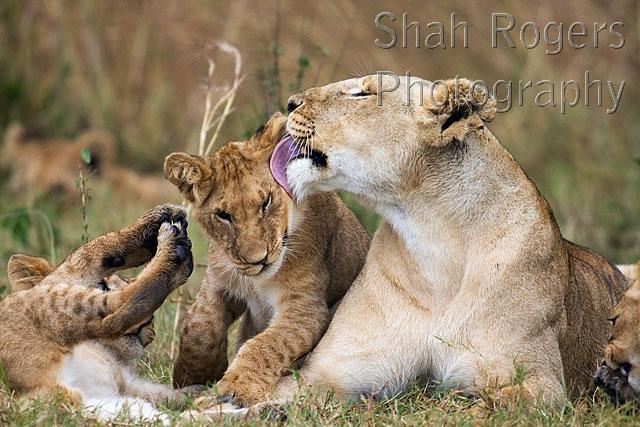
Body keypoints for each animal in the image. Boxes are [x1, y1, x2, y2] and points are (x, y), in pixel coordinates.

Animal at [0, 204, 199, 422]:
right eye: (102, 285)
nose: (147, 324)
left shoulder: (126, 388)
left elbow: (171, 397)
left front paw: (203, 394)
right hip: (42, 302)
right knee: (112, 306)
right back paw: (173, 247)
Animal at [164, 113, 370, 407]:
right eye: (223, 215)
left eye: (266, 202)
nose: (257, 260)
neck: (257, 283)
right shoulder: (218, 281)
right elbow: (200, 324)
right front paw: (191, 377)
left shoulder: (304, 309)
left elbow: (264, 346)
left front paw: (233, 390)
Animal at [257, 75, 631, 407]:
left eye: (363, 93)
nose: (289, 103)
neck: (434, 243)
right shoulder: (329, 372)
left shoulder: (542, 385)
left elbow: (486, 406)